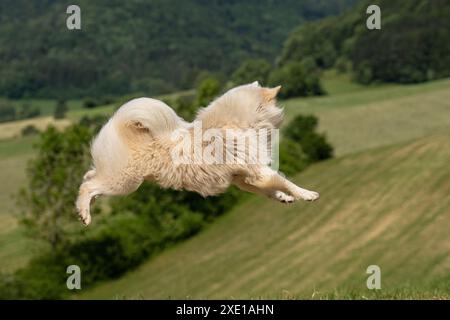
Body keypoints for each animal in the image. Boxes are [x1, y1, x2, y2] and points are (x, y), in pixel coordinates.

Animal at [75, 83, 318, 228]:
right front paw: (306, 194)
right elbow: (285, 181)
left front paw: (284, 197)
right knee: (88, 186)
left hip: (115, 178)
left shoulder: (244, 179)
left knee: (89, 177)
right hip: (124, 182)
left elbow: (270, 190)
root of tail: (117, 123)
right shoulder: (257, 170)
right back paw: (85, 214)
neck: (237, 122)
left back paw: (82, 207)